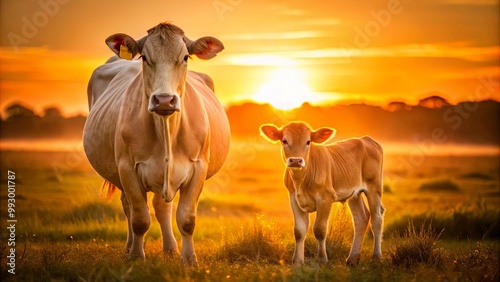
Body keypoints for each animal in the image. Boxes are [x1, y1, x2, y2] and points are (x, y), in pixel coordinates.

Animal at [82, 22, 230, 264]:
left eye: (185, 57)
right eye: (144, 57)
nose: (164, 100)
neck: (165, 129)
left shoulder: (199, 167)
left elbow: (186, 219)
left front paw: (189, 259)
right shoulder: (126, 168)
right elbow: (140, 218)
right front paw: (136, 256)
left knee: (162, 208)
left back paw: (169, 247)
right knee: (129, 207)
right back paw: (130, 246)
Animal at [260, 122, 384, 266]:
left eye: (308, 141)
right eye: (284, 140)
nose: (296, 161)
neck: (301, 180)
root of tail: (366, 139)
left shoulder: (325, 199)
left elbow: (319, 229)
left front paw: (322, 260)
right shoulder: (293, 198)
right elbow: (299, 231)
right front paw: (297, 262)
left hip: (374, 187)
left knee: (377, 219)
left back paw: (376, 256)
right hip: (355, 193)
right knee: (361, 218)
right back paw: (352, 258)